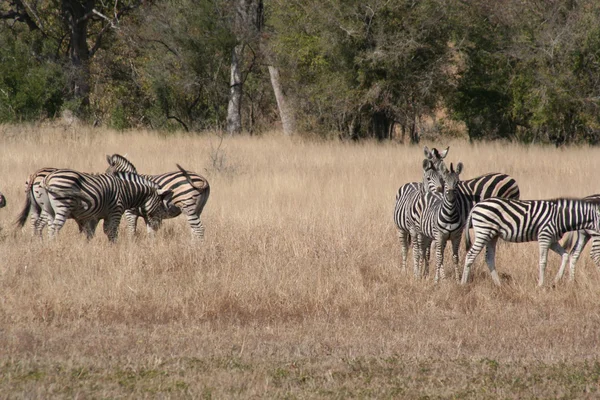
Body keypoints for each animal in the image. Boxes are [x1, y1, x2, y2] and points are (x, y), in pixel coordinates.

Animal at [39, 168, 173, 241]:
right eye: (159, 206)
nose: (157, 227)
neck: (126, 191)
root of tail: (48, 178)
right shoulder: (115, 212)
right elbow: (112, 232)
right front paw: (114, 249)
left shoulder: (97, 216)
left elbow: (92, 233)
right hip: (63, 205)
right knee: (55, 227)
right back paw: (55, 245)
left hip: (49, 210)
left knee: (50, 227)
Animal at [460, 198, 600, 286]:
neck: (561, 217)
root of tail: (476, 205)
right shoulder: (545, 236)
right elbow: (543, 261)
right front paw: (541, 284)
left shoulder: (552, 240)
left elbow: (565, 255)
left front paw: (556, 280)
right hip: (483, 232)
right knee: (471, 255)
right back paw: (463, 283)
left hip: (492, 235)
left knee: (489, 258)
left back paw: (498, 284)